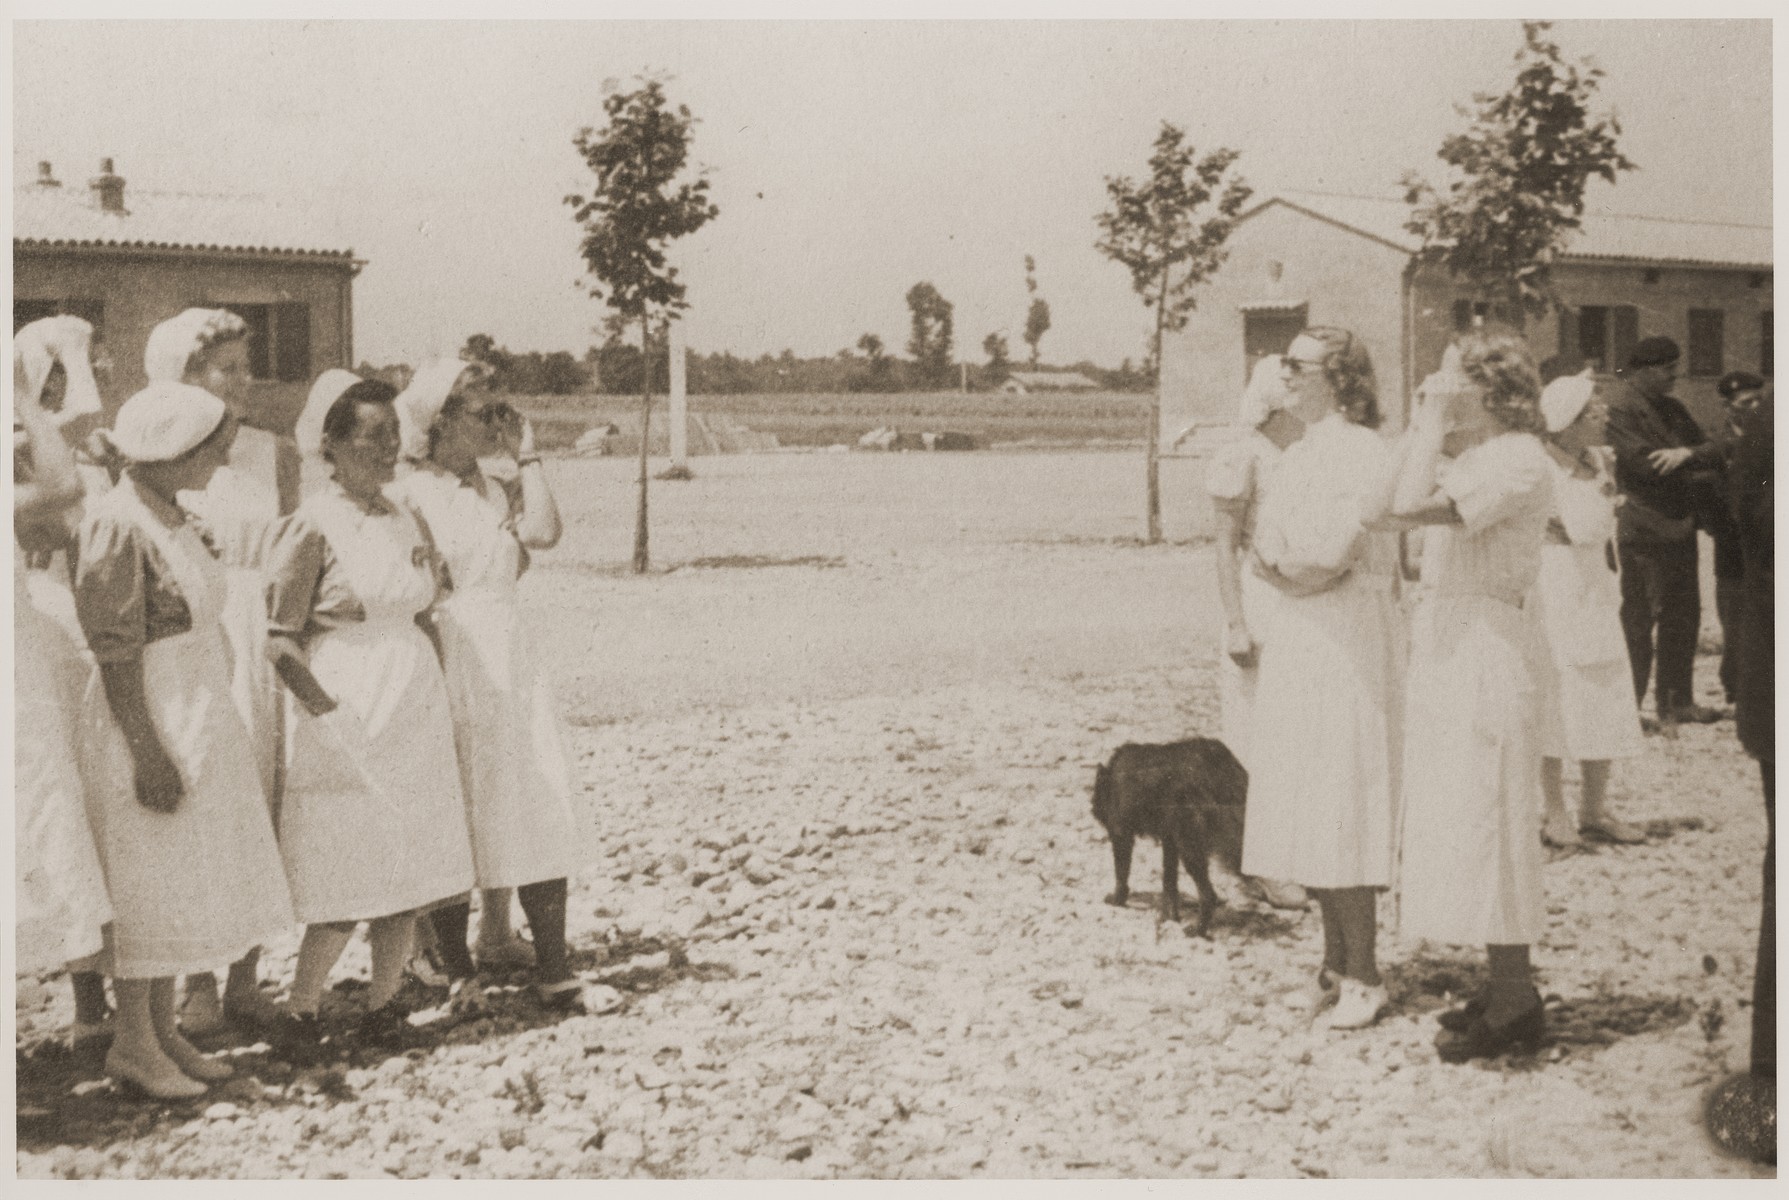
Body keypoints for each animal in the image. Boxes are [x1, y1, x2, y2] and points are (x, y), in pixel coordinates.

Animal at [1087, 740, 1245, 937]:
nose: (1094, 810)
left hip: (1190, 846)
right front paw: (1170, 916)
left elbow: (1121, 873)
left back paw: (1197, 930)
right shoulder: (1170, 841)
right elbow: (1169, 883)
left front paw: (1118, 899)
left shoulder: (1121, 833)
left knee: (1208, 895)